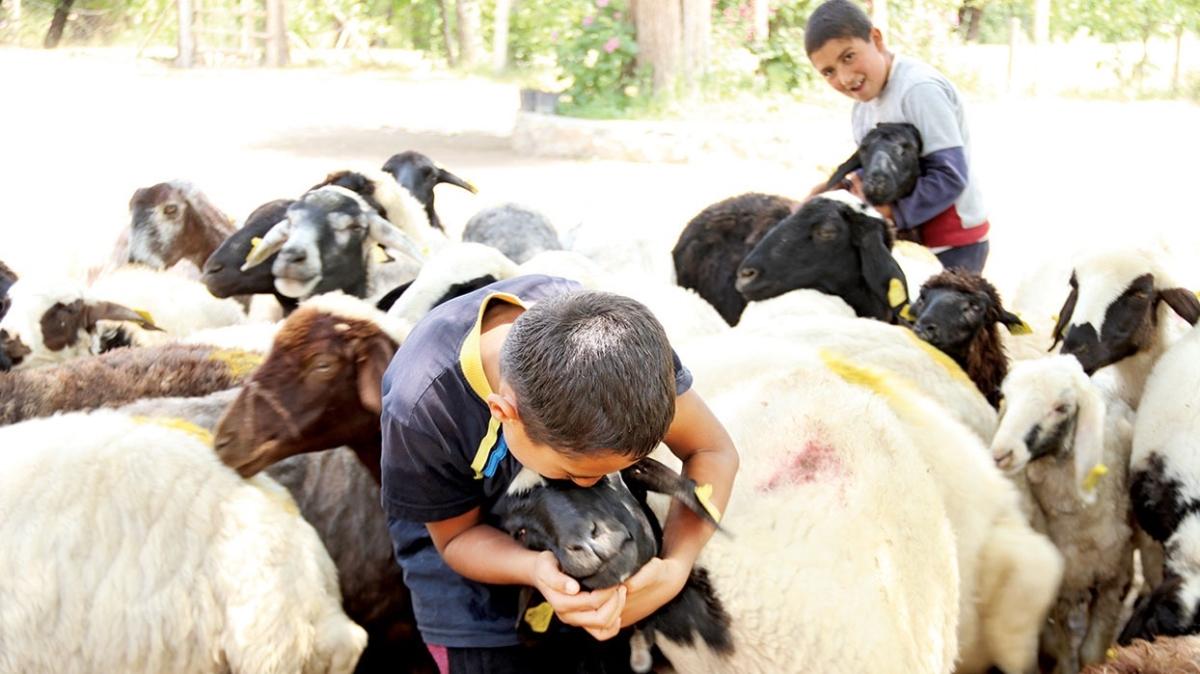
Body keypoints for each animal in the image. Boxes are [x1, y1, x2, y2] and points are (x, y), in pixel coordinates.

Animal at [988, 354, 1137, 666]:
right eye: (1006, 397)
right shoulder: (1064, 584)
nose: (1001, 454)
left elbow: (1091, 652)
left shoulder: (1112, 578)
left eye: (1061, 408)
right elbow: (1065, 649)